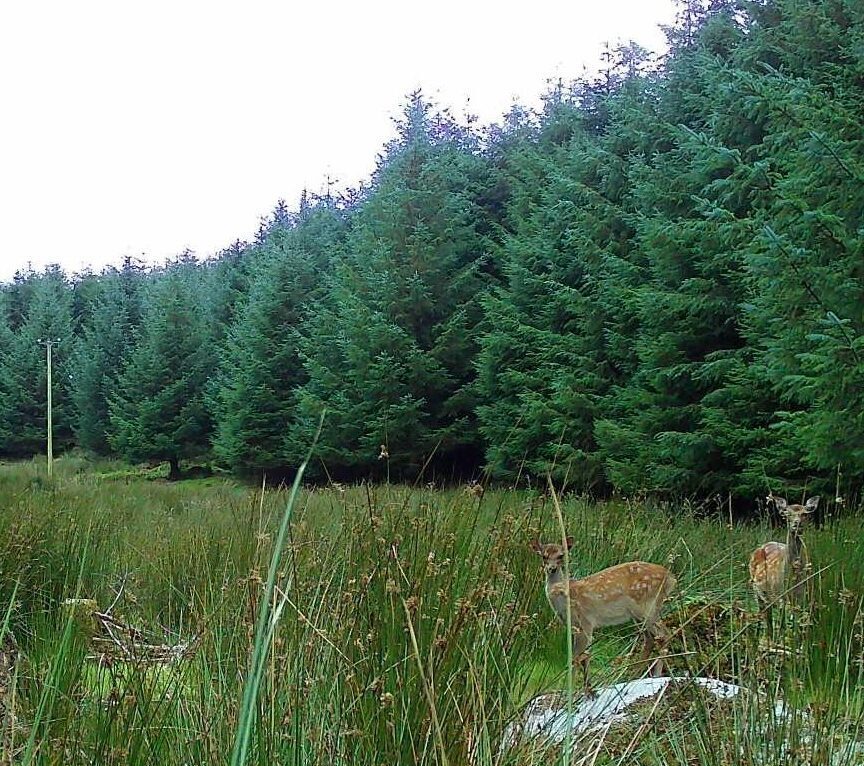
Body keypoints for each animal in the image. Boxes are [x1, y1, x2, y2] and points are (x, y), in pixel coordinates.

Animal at [531, 537, 677, 697]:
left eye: (561, 555)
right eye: (544, 556)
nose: (551, 568)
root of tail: (671, 578)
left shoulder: (585, 621)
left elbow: (577, 657)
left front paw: (571, 690)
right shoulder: (574, 626)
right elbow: (583, 656)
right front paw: (587, 688)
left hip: (647, 607)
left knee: (664, 633)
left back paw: (656, 676)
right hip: (639, 614)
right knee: (650, 639)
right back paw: (636, 676)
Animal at [748, 495, 819, 636]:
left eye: (805, 513)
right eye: (787, 514)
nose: (797, 524)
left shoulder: (804, 596)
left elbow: (798, 628)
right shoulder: (781, 595)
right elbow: (782, 627)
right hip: (758, 592)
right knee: (764, 619)